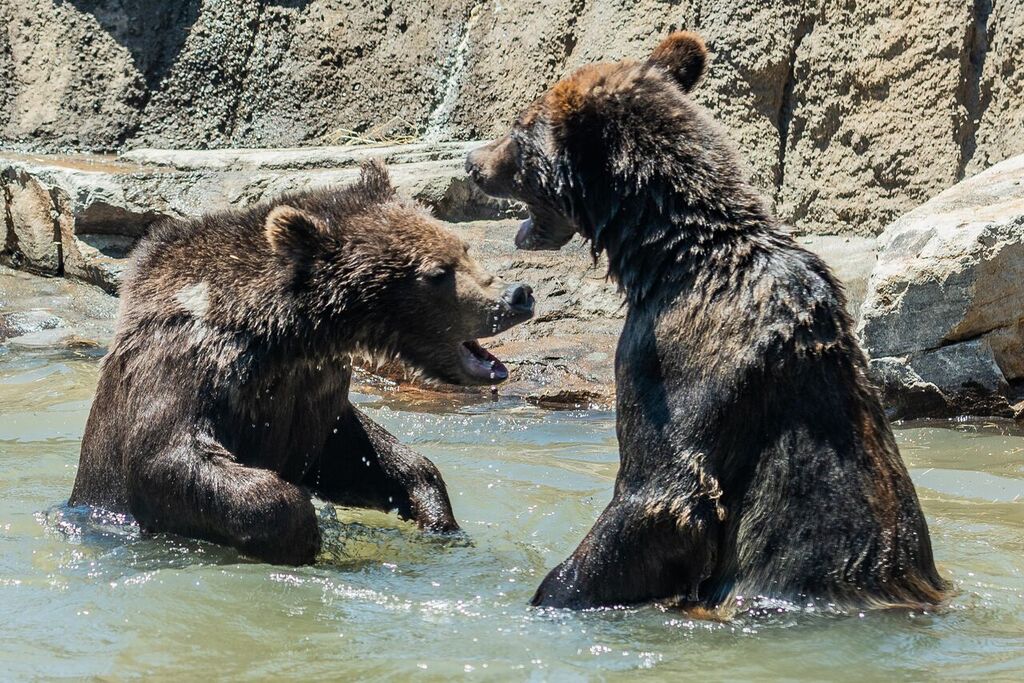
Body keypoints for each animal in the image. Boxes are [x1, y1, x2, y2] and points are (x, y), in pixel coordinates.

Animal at [70, 161, 536, 565]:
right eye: (438, 272)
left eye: (463, 248)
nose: (517, 295)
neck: (288, 337)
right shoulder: (192, 361)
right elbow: (165, 457)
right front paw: (303, 536)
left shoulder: (318, 389)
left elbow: (357, 452)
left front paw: (434, 512)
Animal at [468, 31, 946, 610]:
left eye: (518, 129)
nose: (471, 161)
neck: (667, 255)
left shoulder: (671, 360)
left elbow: (659, 495)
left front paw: (555, 589)